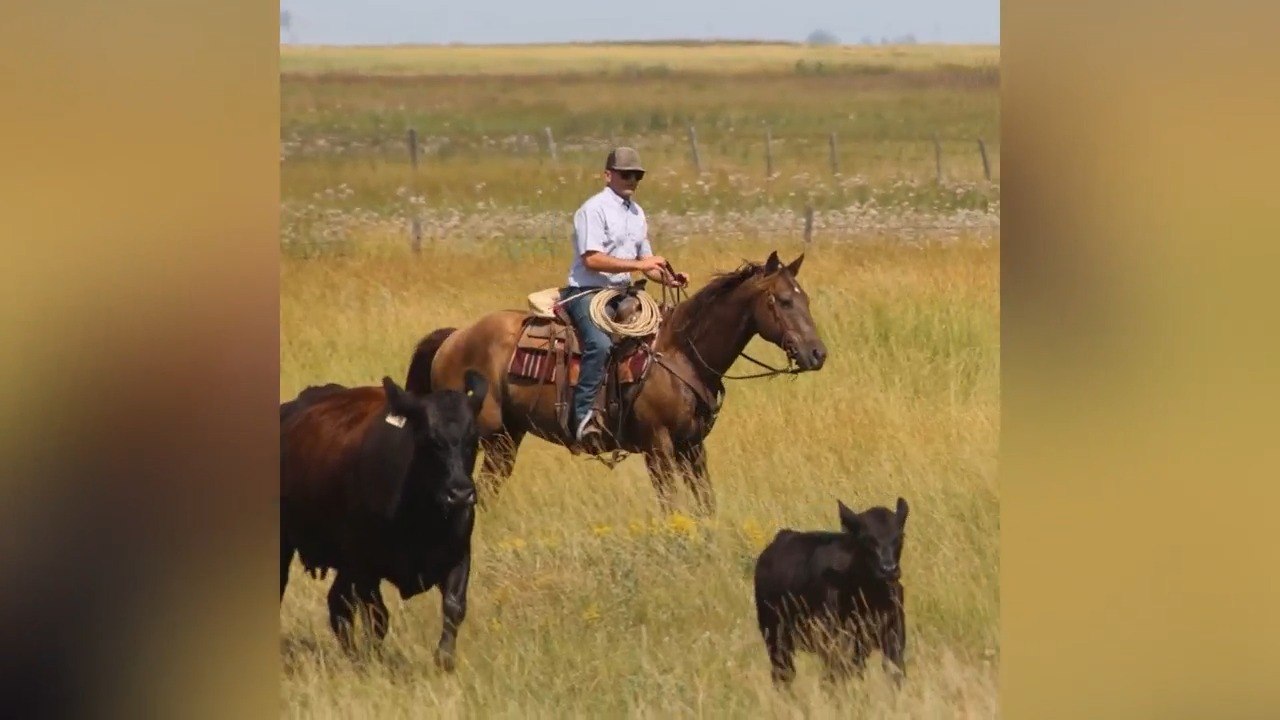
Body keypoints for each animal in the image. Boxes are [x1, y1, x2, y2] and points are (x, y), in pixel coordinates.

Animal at [279, 371, 487, 672]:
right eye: (429, 439)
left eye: (474, 438)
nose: (460, 493)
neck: (423, 521)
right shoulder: (366, 568)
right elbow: (378, 616)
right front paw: (374, 661)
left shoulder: (458, 556)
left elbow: (454, 607)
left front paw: (444, 661)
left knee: (337, 604)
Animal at [753, 497, 910, 687]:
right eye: (866, 539)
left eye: (899, 536)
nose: (888, 569)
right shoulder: (835, 642)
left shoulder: (894, 638)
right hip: (775, 637)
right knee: (784, 674)